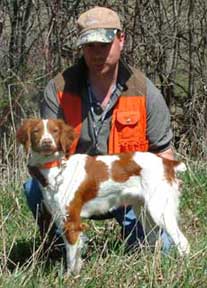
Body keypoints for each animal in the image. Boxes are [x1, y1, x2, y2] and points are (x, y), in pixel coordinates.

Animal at [17, 117, 190, 274]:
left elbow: (72, 259)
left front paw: (69, 278)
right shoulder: (61, 219)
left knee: (183, 243)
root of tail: (166, 163)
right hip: (144, 213)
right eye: (36, 131)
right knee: (155, 240)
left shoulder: (72, 222)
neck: (56, 168)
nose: (47, 142)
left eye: (55, 131)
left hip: (159, 210)